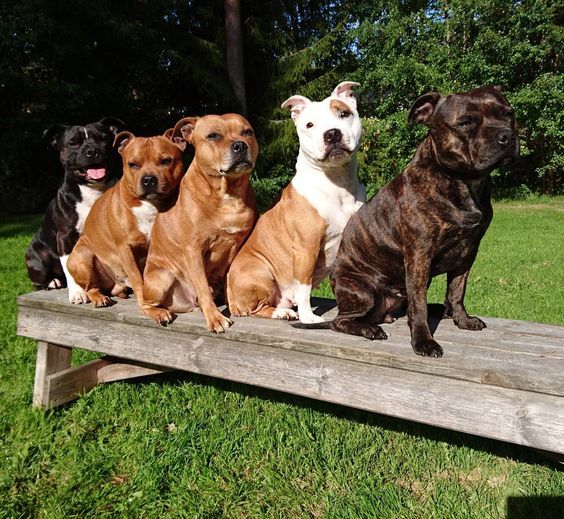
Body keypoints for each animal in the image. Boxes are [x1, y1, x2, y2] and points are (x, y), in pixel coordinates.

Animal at [25, 117, 123, 304]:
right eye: (73, 143)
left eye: (103, 139)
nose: (92, 150)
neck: (93, 190)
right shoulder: (66, 237)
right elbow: (71, 267)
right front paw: (78, 293)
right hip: (38, 257)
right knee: (38, 282)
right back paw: (53, 282)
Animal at [66, 132, 185, 310]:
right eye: (133, 164)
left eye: (166, 161)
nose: (149, 179)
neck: (150, 205)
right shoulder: (125, 248)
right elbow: (137, 278)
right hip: (82, 254)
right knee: (90, 286)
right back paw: (99, 297)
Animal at [142, 114, 258, 334]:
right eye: (213, 136)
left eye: (247, 132)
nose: (240, 144)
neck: (228, 194)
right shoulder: (193, 249)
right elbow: (202, 286)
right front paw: (215, 318)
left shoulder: (237, 244)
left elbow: (228, 277)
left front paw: (234, 306)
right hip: (162, 277)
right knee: (144, 303)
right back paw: (161, 313)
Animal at [228, 82, 366, 322]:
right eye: (309, 124)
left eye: (344, 113)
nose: (332, 134)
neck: (337, 183)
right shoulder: (305, 247)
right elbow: (303, 287)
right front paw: (308, 317)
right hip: (261, 271)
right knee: (257, 308)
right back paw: (282, 312)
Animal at [326, 87, 516, 360]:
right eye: (466, 122)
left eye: (509, 115)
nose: (506, 135)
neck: (462, 183)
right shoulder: (419, 254)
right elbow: (418, 305)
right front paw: (424, 341)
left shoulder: (468, 253)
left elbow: (457, 291)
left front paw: (463, 320)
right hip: (361, 291)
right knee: (340, 321)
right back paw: (369, 329)